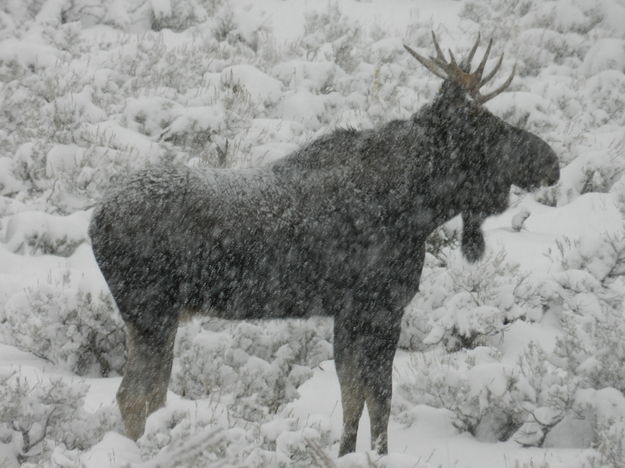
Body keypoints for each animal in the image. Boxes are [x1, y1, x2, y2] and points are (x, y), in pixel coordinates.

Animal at [89, 33, 560, 458]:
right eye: (485, 125)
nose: (551, 160)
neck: (417, 209)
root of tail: (95, 221)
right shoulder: (377, 307)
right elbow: (377, 396)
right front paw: (373, 453)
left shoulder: (349, 312)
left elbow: (356, 396)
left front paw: (348, 451)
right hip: (150, 311)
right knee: (132, 395)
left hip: (156, 317)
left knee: (151, 394)